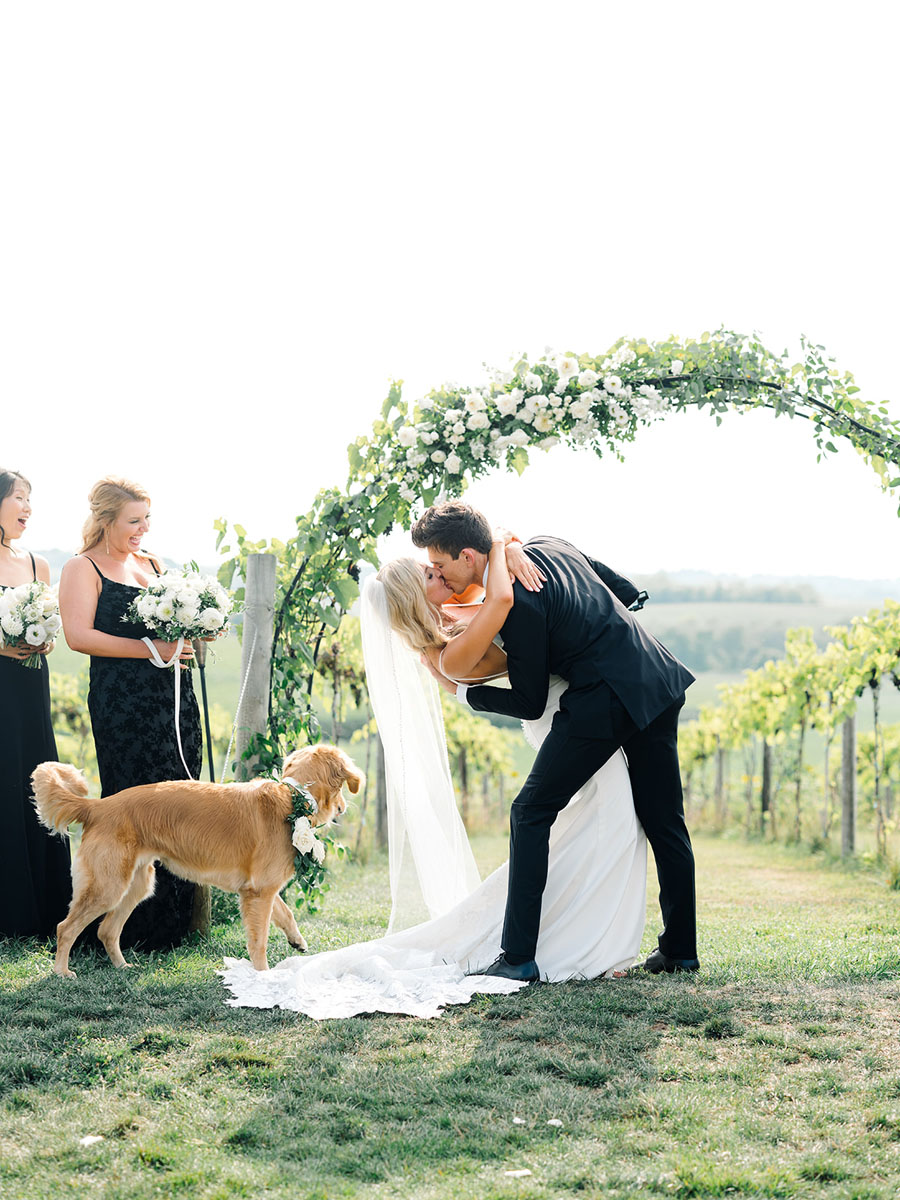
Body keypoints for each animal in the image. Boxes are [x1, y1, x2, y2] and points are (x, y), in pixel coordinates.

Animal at [31, 744, 362, 979]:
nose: (344, 808)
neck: (294, 798)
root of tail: (98, 806)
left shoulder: (259, 889)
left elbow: (286, 913)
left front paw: (297, 941)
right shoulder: (258, 893)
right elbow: (259, 940)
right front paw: (262, 976)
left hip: (136, 886)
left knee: (107, 931)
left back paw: (122, 967)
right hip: (107, 887)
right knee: (65, 928)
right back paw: (61, 972)